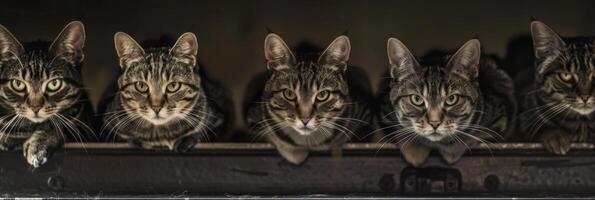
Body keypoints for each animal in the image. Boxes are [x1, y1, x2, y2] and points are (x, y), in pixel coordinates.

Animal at [0, 21, 94, 167]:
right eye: (18, 84)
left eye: (54, 83)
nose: (35, 108)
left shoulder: (86, 130)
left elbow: (55, 124)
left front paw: (38, 144)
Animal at [100, 32, 233, 151]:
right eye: (141, 86)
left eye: (173, 86)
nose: (156, 107)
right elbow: (129, 138)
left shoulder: (219, 119)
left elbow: (201, 134)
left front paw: (185, 142)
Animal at [380, 37, 516, 166]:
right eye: (417, 99)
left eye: (452, 99)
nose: (434, 123)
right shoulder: (384, 112)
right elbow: (398, 130)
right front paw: (414, 151)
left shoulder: (500, 118)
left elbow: (473, 135)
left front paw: (452, 150)